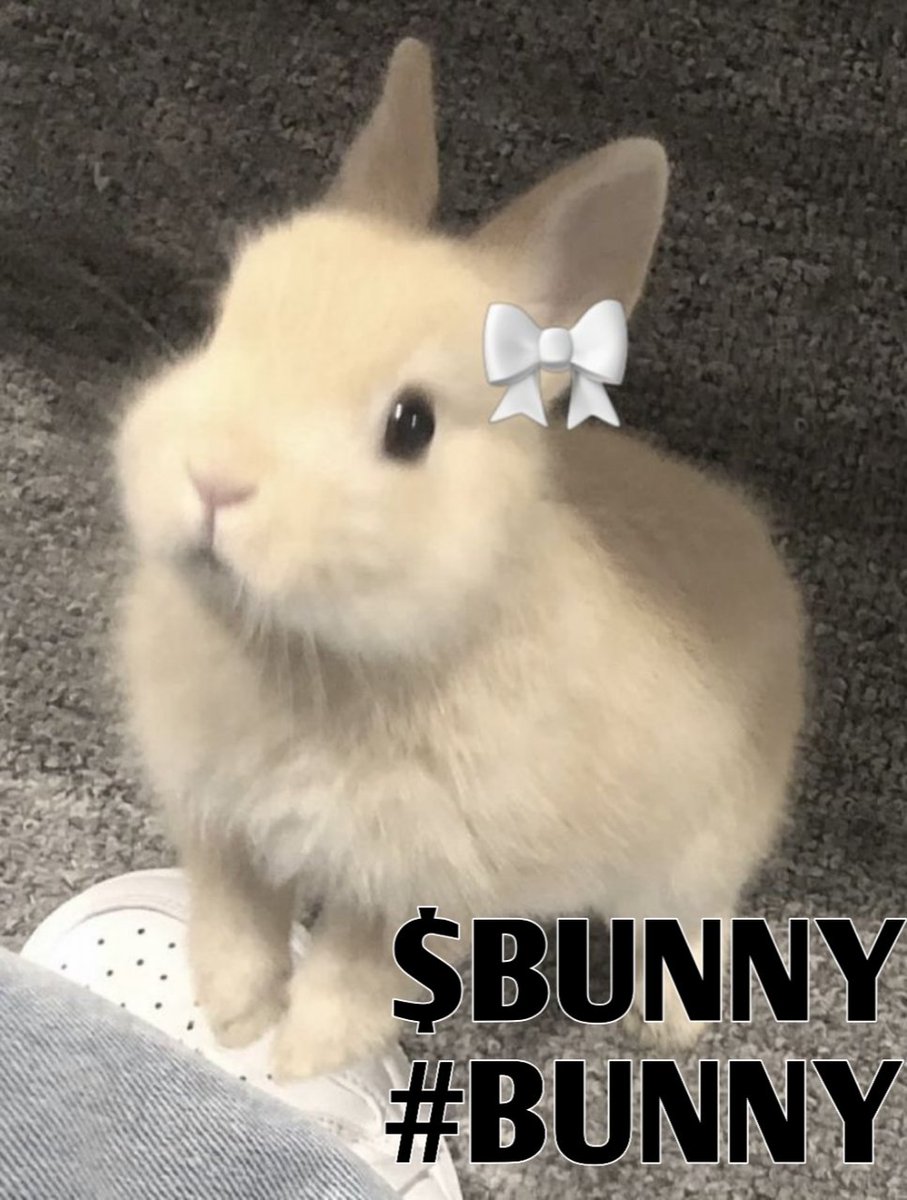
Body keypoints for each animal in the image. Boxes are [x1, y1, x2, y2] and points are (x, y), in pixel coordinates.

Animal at [112, 38, 805, 1080]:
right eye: (219, 325)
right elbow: (236, 912)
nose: (215, 480)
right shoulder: (218, 818)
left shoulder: (424, 877)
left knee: (690, 920)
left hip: (696, 854)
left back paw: (666, 1029)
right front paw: (234, 1017)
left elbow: (357, 971)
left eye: (412, 426)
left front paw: (301, 1061)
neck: (310, 653)